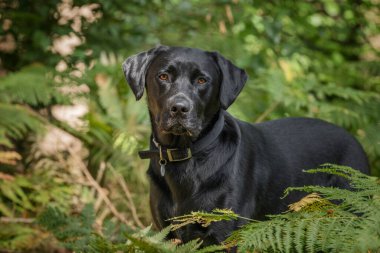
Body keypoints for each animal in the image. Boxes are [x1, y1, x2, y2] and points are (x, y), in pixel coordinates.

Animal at [123, 45, 370, 245]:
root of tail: (353, 139)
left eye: (202, 80)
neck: (187, 157)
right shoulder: (165, 234)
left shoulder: (226, 235)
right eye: (163, 76)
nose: (179, 108)